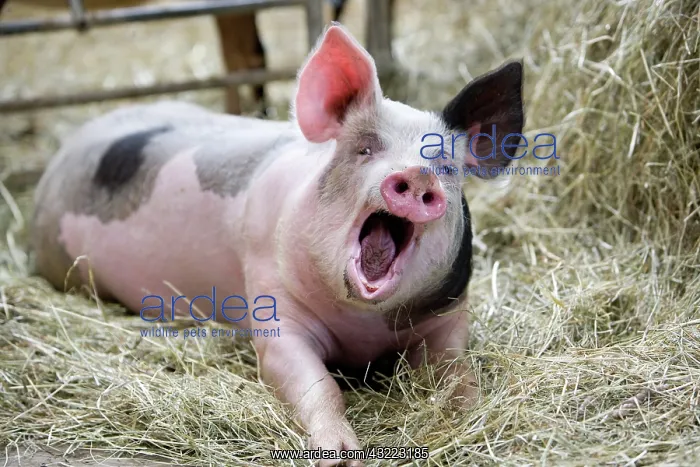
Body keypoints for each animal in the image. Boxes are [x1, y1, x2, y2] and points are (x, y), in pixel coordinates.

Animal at [32, 24, 524, 465]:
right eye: (365, 149)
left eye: (446, 167)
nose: (417, 175)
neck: (363, 326)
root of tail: (60, 155)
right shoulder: (274, 305)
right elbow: (316, 383)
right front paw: (340, 456)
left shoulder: (450, 316)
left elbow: (459, 372)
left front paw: (474, 417)